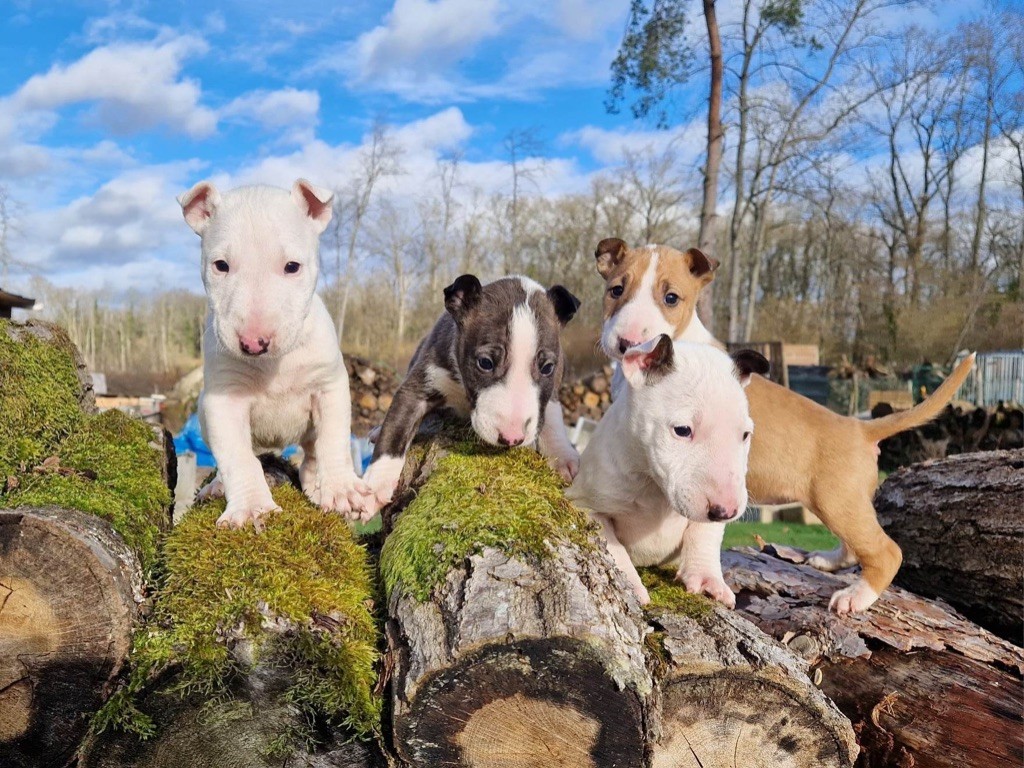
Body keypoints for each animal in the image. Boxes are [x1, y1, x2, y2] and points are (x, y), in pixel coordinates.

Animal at [180, 180, 372, 528]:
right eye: (221, 265)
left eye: (292, 267)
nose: (253, 343)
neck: (273, 366)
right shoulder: (224, 402)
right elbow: (237, 457)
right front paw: (250, 508)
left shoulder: (330, 387)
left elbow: (334, 441)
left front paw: (343, 491)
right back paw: (216, 487)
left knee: (312, 453)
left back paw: (318, 487)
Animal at [354, 274, 581, 520]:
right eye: (485, 363)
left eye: (547, 367)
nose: (512, 438)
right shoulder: (417, 387)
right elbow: (396, 431)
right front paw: (375, 487)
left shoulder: (555, 383)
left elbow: (553, 415)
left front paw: (563, 456)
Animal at [569, 335, 770, 606]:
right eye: (683, 430)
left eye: (745, 435)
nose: (726, 511)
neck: (655, 487)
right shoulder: (585, 504)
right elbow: (611, 545)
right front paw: (628, 584)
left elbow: (704, 533)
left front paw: (708, 579)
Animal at [598, 239, 974, 614]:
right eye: (616, 290)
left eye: (671, 297)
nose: (628, 342)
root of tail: (860, 427)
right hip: (848, 503)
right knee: (856, 546)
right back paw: (828, 560)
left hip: (837, 501)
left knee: (886, 551)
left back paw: (855, 597)